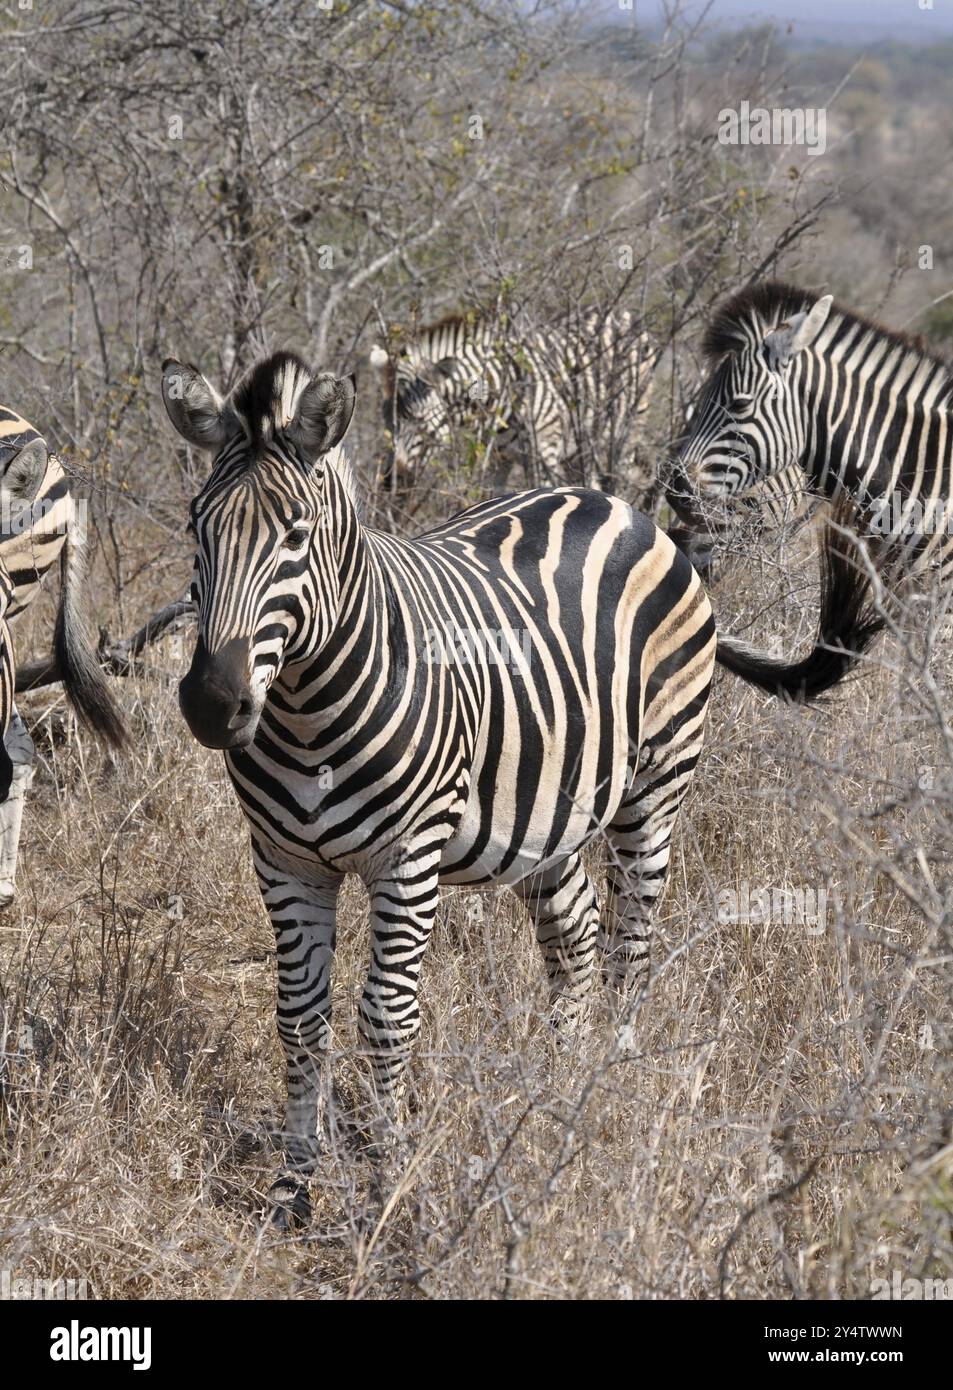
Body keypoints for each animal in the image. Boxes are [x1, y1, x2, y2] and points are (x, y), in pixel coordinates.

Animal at [160, 348, 881, 1226]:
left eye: (295, 535)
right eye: (195, 525)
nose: (211, 702)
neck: (303, 708)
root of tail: (620, 505)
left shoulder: (408, 860)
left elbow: (386, 1019)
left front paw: (385, 1184)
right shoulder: (284, 860)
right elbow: (300, 1019)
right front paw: (294, 1189)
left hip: (655, 789)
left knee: (628, 951)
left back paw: (606, 1092)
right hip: (546, 815)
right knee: (572, 936)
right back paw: (555, 1089)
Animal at [370, 306, 658, 499]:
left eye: (417, 419)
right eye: (389, 423)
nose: (390, 481)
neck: (498, 391)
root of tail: (625, 315)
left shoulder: (544, 452)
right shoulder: (498, 459)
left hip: (628, 430)